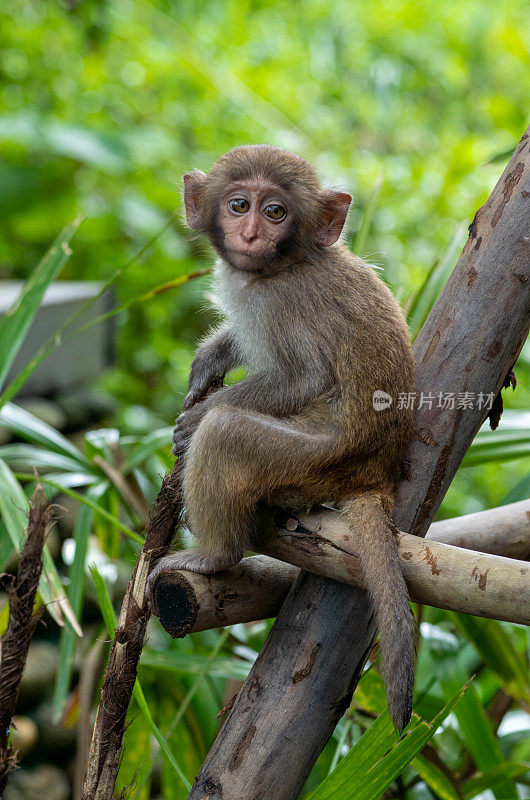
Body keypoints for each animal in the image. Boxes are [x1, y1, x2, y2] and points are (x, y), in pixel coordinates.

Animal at [146, 144, 414, 732]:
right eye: (238, 204)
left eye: (275, 212)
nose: (250, 234)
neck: (279, 267)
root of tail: (375, 474)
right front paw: (210, 358)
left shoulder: (284, 302)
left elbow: (302, 378)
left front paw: (200, 417)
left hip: (313, 459)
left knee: (229, 438)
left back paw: (214, 555)